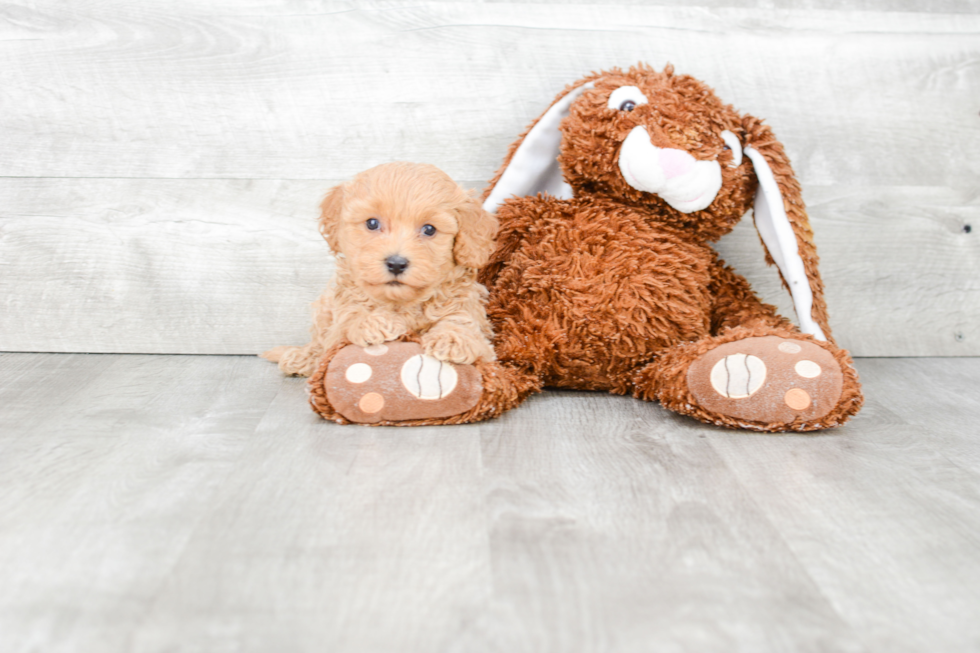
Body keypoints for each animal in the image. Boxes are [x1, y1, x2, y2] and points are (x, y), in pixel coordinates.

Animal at [262, 162, 498, 376]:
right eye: (372, 223)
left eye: (429, 229)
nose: (396, 263)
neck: (401, 303)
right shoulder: (340, 321)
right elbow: (349, 319)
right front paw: (372, 322)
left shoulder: (471, 312)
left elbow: (461, 319)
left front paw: (452, 338)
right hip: (323, 307)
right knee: (318, 341)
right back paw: (300, 357)